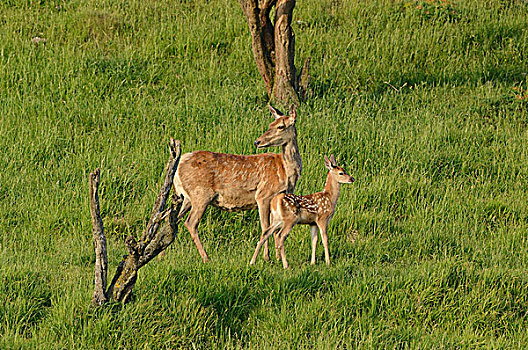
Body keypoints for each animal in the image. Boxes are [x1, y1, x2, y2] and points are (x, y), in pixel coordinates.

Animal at [173, 105, 302, 262]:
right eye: (270, 125)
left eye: (280, 126)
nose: (257, 142)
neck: (285, 171)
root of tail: (180, 163)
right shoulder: (263, 195)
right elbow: (265, 227)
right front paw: (266, 257)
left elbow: (275, 228)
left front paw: (276, 257)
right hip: (200, 194)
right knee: (190, 223)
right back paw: (206, 258)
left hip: (186, 197)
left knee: (173, 219)